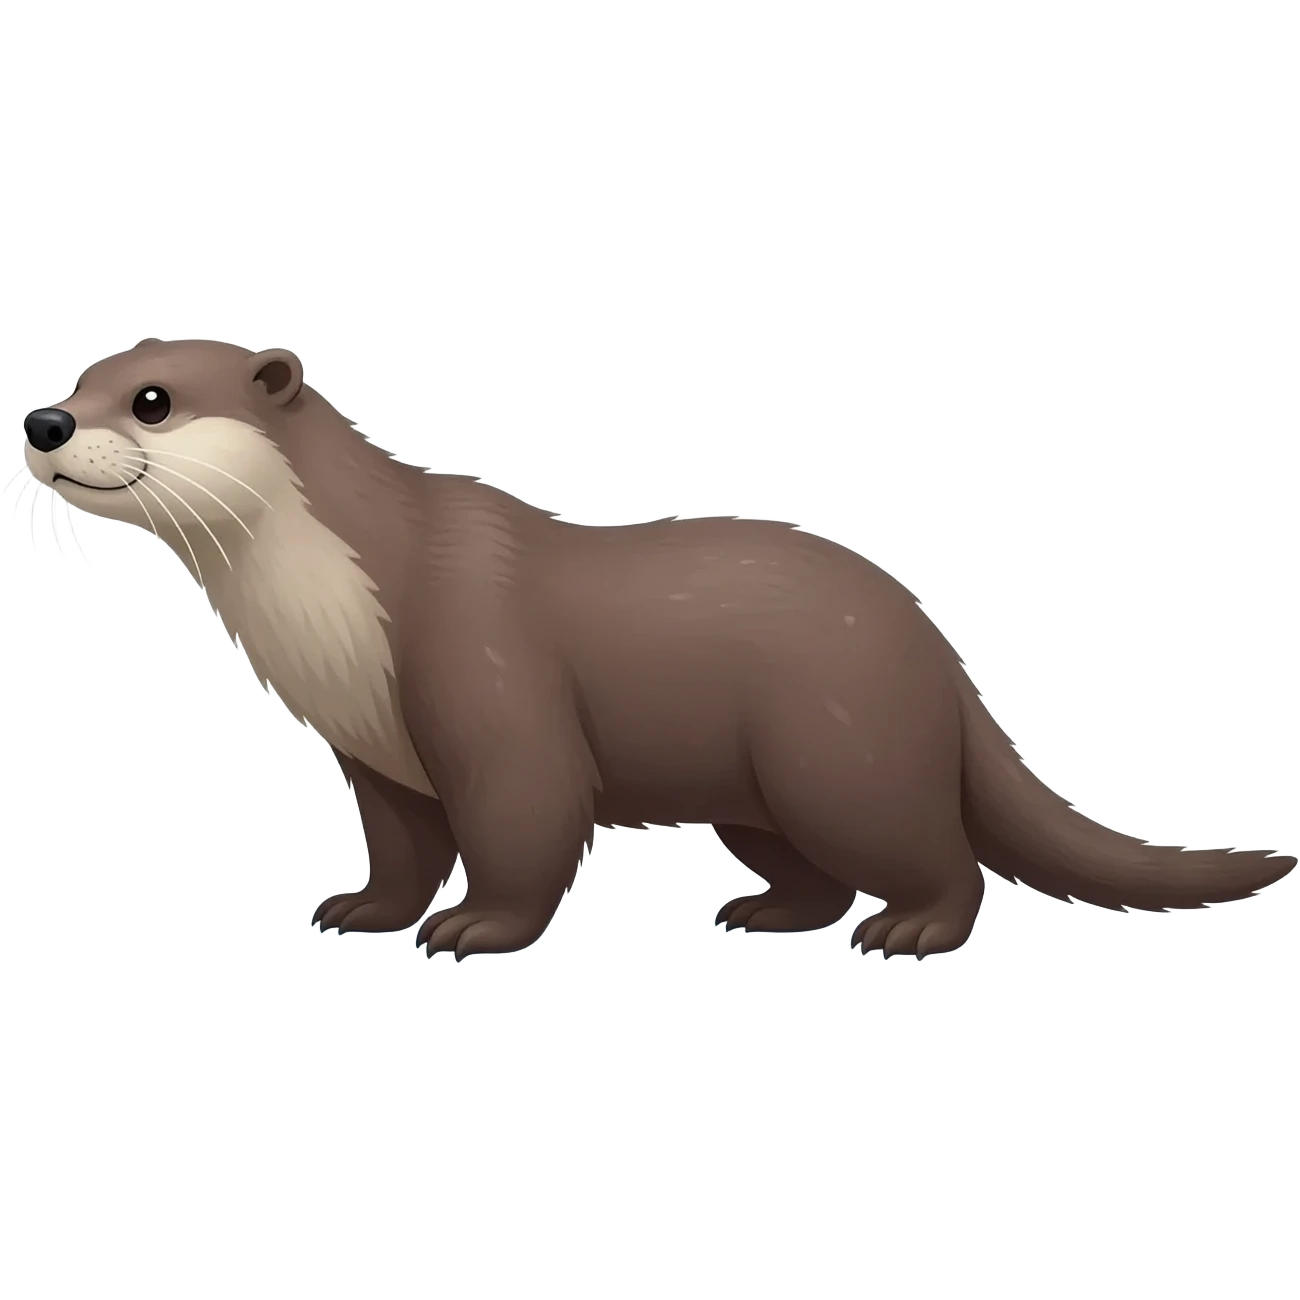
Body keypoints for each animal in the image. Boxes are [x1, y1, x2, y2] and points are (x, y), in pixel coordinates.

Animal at [14, 338, 1296, 962]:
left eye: (154, 398)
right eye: (80, 378)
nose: (45, 420)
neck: (339, 612)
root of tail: (939, 656)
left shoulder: (490, 686)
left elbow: (525, 823)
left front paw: (476, 931)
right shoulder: (376, 750)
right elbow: (403, 842)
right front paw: (367, 908)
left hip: (840, 753)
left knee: (938, 857)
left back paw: (910, 932)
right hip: (761, 789)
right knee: (810, 868)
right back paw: (764, 914)